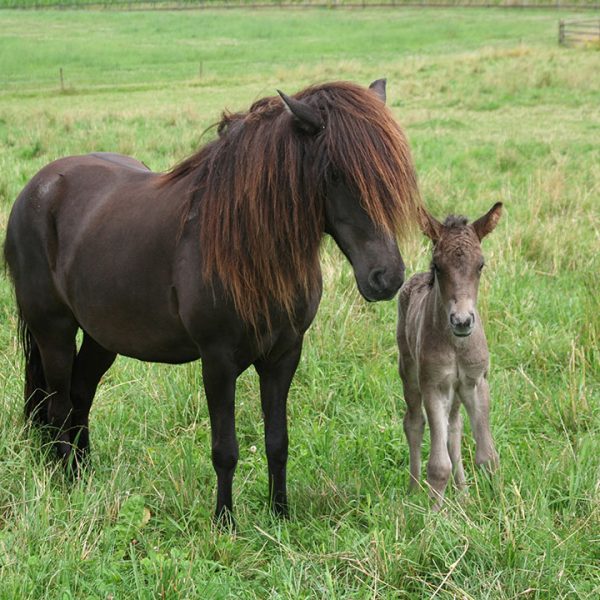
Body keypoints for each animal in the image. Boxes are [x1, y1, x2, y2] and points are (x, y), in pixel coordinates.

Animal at [4, 78, 418, 520]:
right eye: (336, 173)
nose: (387, 277)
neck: (247, 246)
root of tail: (37, 188)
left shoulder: (283, 355)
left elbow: (278, 441)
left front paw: (280, 514)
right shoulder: (217, 361)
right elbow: (226, 449)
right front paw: (225, 521)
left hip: (102, 336)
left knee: (81, 395)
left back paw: (84, 476)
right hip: (54, 332)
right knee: (59, 405)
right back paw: (66, 480)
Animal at [398, 204, 502, 508]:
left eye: (480, 265)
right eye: (438, 267)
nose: (462, 321)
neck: (456, 345)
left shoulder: (476, 382)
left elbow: (488, 456)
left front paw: (500, 505)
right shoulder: (434, 386)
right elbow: (438, 465)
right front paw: (434, 514)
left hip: (457, 392)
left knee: (454, 429)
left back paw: (463, 494)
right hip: (408, 370)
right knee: (414, 422)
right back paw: (413, 490)